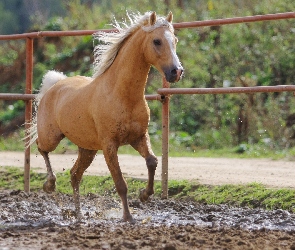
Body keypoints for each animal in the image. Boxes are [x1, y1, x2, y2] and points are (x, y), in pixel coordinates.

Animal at [28, 12, 184, 223]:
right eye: (157, 41)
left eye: (175, 40)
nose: (177, 72)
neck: (121, 95)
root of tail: (54, 86)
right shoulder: (109, 145)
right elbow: (120, 183)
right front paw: (128, 217)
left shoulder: (138, 137)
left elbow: (152, 161)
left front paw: (144, 195)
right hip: (51, 137)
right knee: (41, 147)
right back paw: (50, 185)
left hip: (87, 149)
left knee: (74, 175)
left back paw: (79, 216)